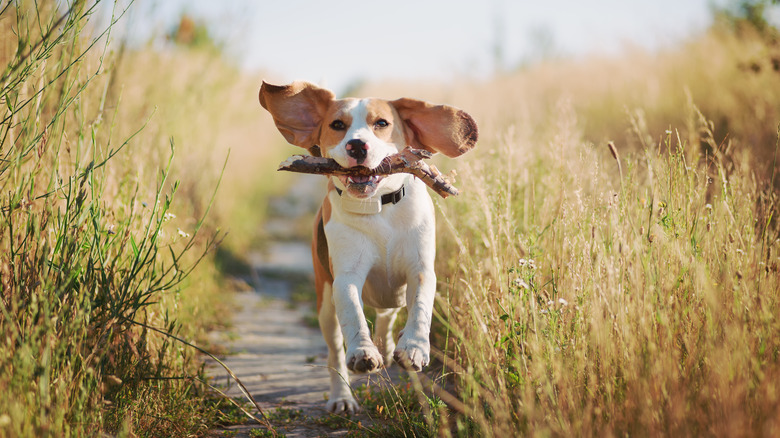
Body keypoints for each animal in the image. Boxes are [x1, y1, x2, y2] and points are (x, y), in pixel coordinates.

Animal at [258, 82, 476, 414]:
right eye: (337, 125)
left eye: (381, 123)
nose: (357, 146)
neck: (378, 208)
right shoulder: (346, 278)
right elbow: (354, 315)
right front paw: (363, 352)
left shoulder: (421, 270)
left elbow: (421, 306)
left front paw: (413, 346)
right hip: (325, 305)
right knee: (335, 351)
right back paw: (342, 396)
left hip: (392, 294)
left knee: (388, 316)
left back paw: (389, 348)